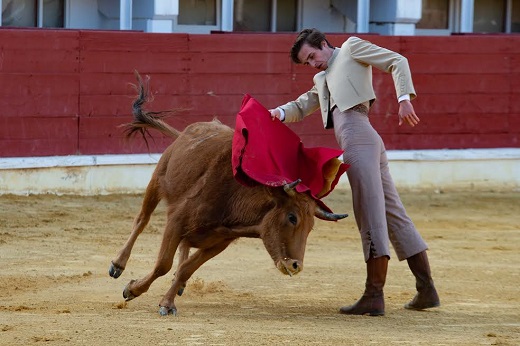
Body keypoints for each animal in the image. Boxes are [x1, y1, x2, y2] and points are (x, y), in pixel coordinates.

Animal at [107, 73, 348, 316]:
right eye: (292, 217)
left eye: (311, 227)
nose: (296, 266)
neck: (234, 202)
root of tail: (189, 130)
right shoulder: (176, 221)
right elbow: (163, 264)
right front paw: (132, 289)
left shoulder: (220, 241)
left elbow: (186, 268)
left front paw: (168, 301)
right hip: (157, 179)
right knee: (141, 221)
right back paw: (118, 265)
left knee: (183, 247)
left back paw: (179, 285)